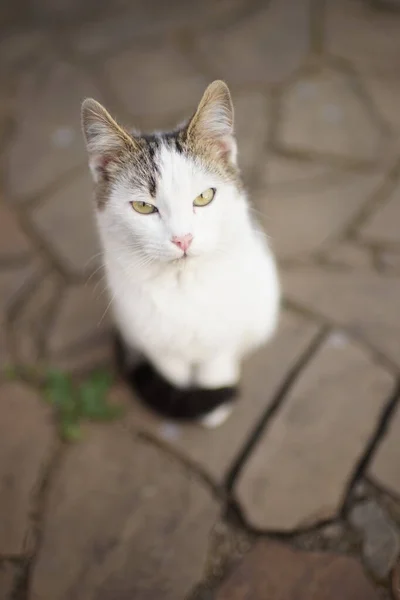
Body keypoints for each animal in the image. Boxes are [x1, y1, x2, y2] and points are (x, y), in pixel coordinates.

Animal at [81, 81, 280, 426]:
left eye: (204, 197)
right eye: (143, 206)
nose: (182, 239)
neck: (181, 285)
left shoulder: (224, 329)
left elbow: (216, 360)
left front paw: (215, 401)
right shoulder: (152, 340)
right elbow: (172, 375)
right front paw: (186, 400)